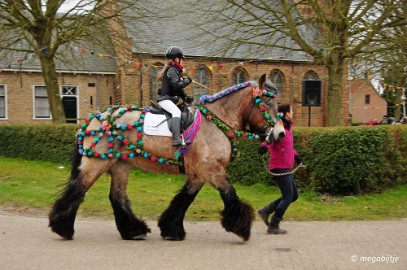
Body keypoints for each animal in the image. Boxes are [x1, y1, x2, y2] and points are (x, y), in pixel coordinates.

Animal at [48, 75, 284, 242]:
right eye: (266, 103)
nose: (280, 134)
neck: (215, 121)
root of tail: (96, 120)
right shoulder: (212, 169)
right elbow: (230, 194)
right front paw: (241, 226)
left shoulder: (199, 173)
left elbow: (184, 198)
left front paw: (171, 228)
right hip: (97, 162)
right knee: (79, 189)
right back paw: (63, 227)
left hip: (120, 164)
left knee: (117, 196)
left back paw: (133, 230)